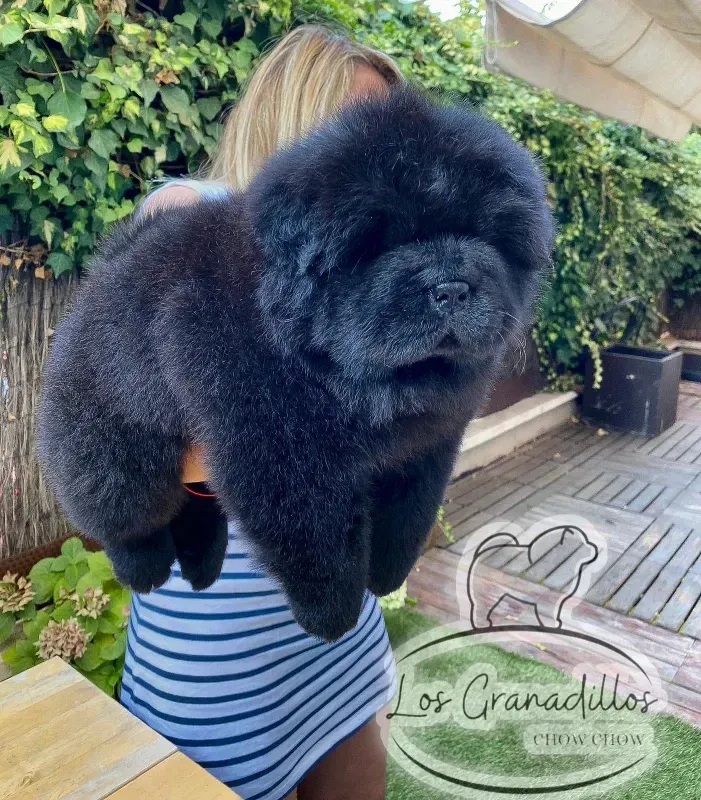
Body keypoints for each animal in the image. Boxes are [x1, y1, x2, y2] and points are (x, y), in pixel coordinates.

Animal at [37, 86, 554, 642]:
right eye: (380, 245)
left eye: (485, 237)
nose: (452, 286)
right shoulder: (279, 455)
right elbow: (317, 546)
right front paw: (332, 617)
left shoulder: (426, 445)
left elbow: (407, 516)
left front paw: (386, 577)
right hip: (114, 443)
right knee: (126, 515)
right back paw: (146, 571)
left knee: (195, 508)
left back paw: (202, 567)